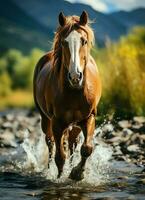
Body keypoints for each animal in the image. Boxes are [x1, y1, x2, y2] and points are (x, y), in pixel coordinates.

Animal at [33, 10, 101, 180]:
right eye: (64, 42)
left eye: (84, 41)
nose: (75, 77)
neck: (74, 92)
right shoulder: (57, 122)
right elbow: (60, 157)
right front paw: (59, 178)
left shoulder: (89, 117)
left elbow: (86, 148)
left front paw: (77, 173)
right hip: (46, 120)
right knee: (50, 143)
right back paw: (48, 169)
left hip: (75, 125)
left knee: (72, 144)